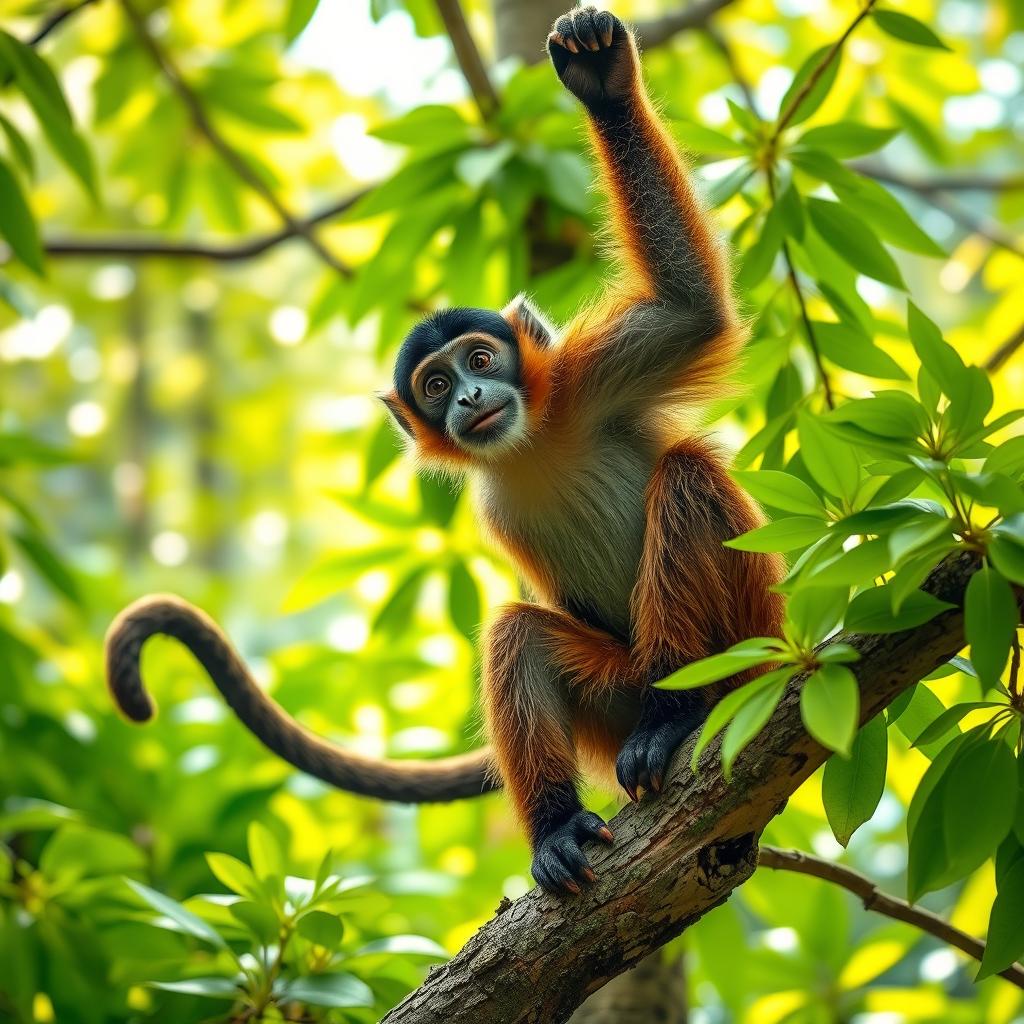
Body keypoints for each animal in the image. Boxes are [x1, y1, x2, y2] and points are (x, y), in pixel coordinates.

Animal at [105, 6, 784, 894]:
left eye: (483, 360)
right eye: (434, 384)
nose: (467, 399)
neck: (531, 444)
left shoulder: (588, 378)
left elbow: (689, 307)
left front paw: (602, 81)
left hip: (749, 635)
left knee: (687, 472)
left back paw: (678, 714)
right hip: (616, 691)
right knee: (517, 635)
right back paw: (561, 826)